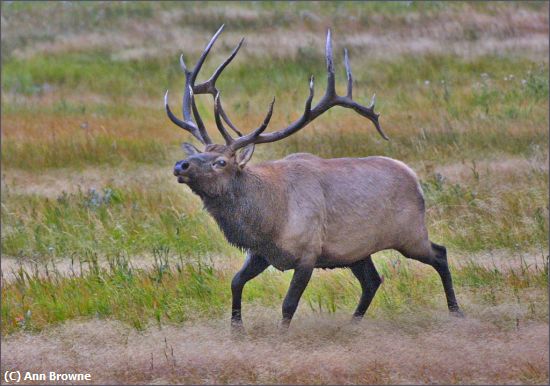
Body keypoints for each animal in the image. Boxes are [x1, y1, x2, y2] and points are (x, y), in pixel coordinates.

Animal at [166, 25, 464, 328]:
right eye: (202, 152)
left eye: (221, 162)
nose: (181, 165)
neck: (269, 220)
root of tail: (414, 178)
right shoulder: (261, 254)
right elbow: (235, 283)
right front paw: (236, 328)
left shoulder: (307, 254)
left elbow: (288, 305)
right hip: (358, 250)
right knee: (372, 281)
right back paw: (353, 323)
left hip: (410, 233)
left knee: (440, 254)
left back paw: (455, 310)